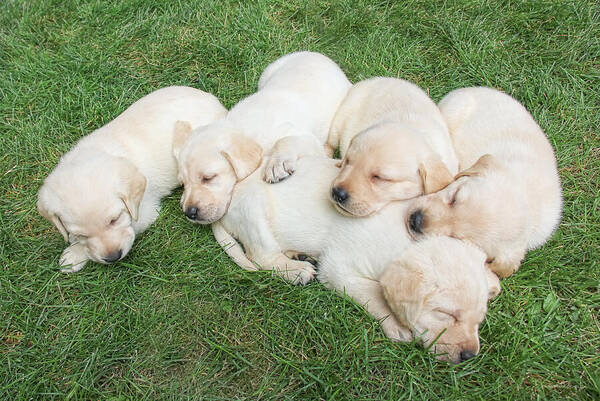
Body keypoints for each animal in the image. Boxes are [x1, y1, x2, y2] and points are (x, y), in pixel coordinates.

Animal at [37, 86, 226, 272]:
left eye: (114, 220)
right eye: (82, 234)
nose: (113, 257)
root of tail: (217, 103)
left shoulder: (145, 212)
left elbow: (131, 228)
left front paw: (74, 255)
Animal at [172, 51, 352, 223]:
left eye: (208, 178)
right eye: (183, 184)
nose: (189, 212)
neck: (245, 128)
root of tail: (316, 54)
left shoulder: (306, 137)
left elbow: (285, 140)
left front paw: (277, 164)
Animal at [212, 151, 502, 362]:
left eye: (479, 319)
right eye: (445, 314)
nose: (469, 355)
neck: (407, 244)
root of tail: (226, 204)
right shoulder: (339, 268)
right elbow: (372, 292)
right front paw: (395, 323)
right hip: (255, 213)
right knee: (261, 256)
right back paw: (295, 270)